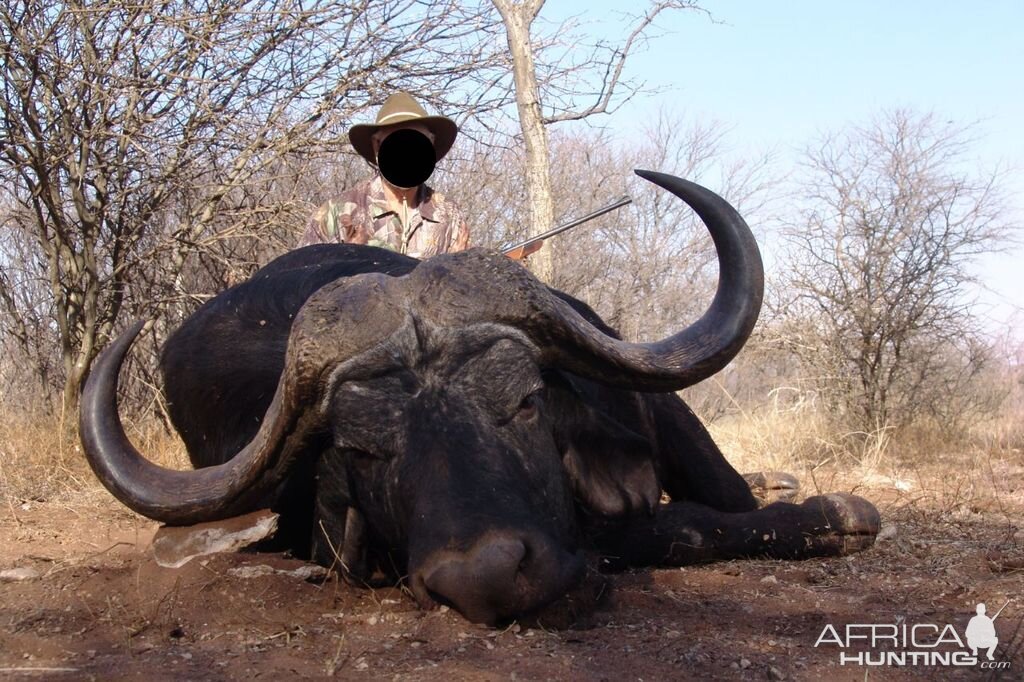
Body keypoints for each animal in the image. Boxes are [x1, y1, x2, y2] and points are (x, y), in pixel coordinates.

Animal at [81, 168, 880, 622]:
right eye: (362, 451)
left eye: (526, 402)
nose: (489, 576)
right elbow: (662, 529)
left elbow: (714, 508)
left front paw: (840, 512)